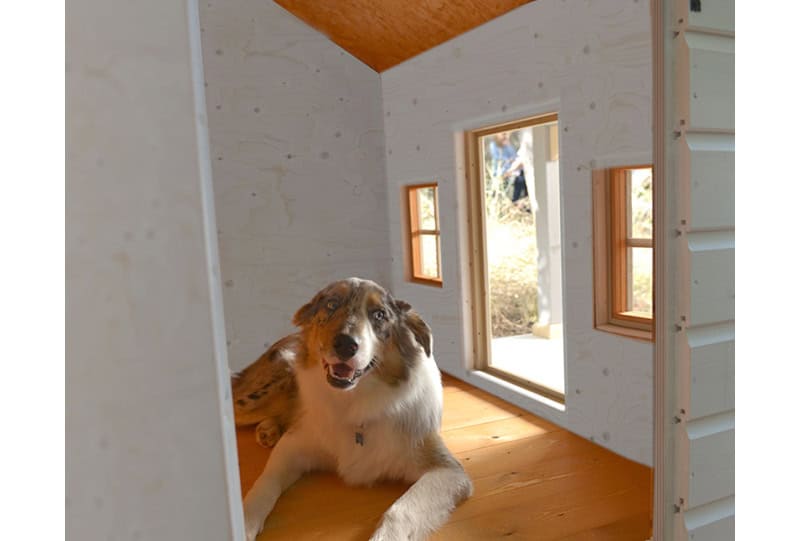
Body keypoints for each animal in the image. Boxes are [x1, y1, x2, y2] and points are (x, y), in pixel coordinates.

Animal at [231, 278, 472, 540]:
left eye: (379, 314)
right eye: (331, 304)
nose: (346, 345)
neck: (354, 403)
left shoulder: (447, 470)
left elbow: (400, 511)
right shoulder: (293, 447)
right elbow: (265, 481)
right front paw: (243, 522)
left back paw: (268, 429)